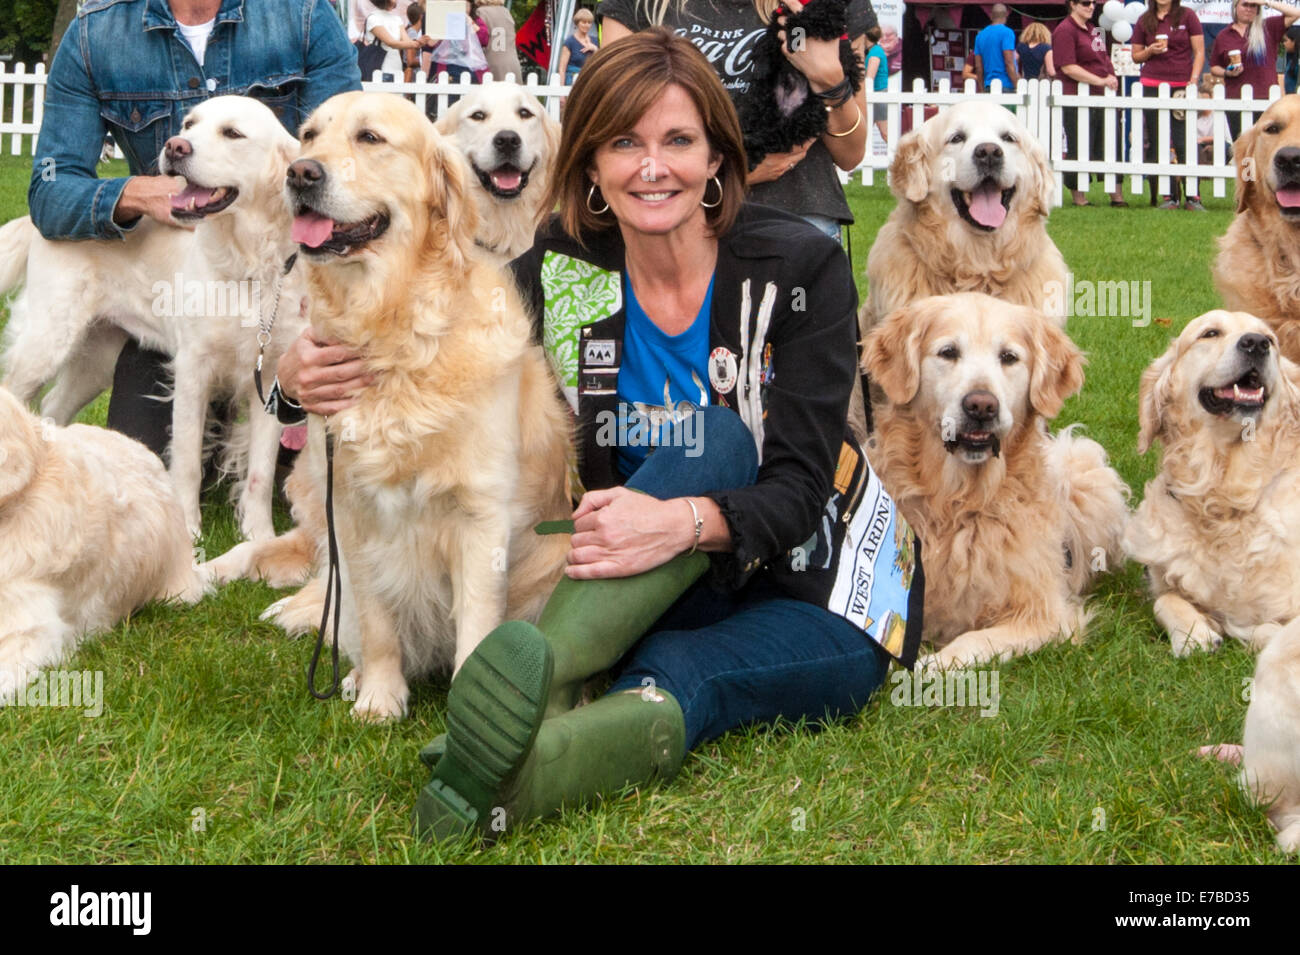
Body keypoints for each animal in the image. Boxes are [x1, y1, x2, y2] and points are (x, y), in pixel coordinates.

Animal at [743, 0, 863, 167]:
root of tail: (785, 110)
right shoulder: (779, 17)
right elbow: (769, 38)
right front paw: (762, 64)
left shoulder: (831, 17)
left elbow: (811, 17)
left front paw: (792, 33)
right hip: (762, 100)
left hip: (807, 115)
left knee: (778, 137)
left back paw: (750, 149)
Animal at [863, 294, 1128, 670]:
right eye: (948, 352)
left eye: (1008, 357)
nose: (981, 405)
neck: (960, 503)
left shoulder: (1045, 615)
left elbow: (974, 640)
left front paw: (933, 664)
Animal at [1123, 310, 1300, 654]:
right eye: (1210, 333)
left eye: (1270, 340)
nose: (1256, 343)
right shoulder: (1161, 580)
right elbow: (1165, 599)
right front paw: (1193, 634)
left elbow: (1272, 631)